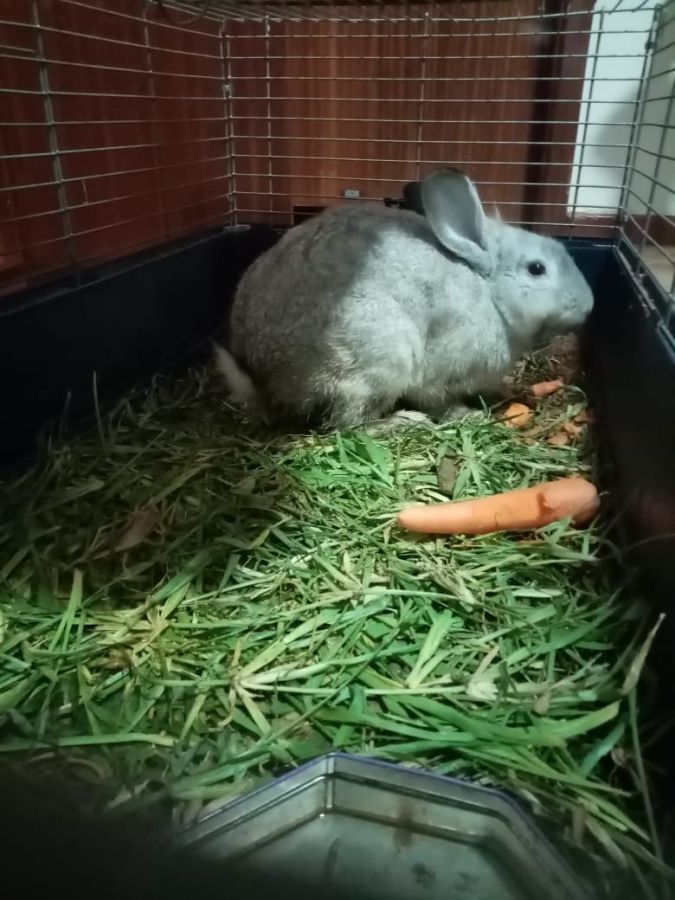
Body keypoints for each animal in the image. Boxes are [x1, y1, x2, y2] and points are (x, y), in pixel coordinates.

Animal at [215, 169, 593, 430]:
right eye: (536, 269)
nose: (589, 306)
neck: (489, 294)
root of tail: (264, 381)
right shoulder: (440, 373)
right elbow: (437, 399)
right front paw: (466, 414)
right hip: (378, 362)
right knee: (349, 424)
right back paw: (403, 422)